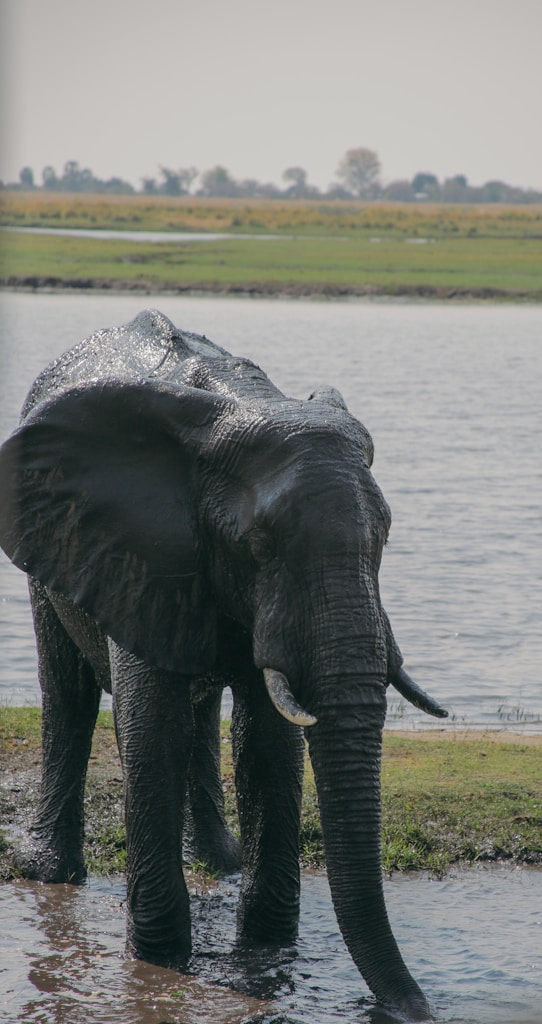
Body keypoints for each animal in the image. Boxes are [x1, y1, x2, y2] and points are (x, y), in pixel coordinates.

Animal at [0, 309, 447, 1021]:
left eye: (384, 537)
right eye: (259, 545)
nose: (415, 1009)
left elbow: (268, 741)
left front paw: (265, 954)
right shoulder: (140, 549)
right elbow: (150, 730)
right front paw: (161, 963)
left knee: (200, 709)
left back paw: (221, 862)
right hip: (48, 540)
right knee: (68, 691)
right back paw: (51, 873)